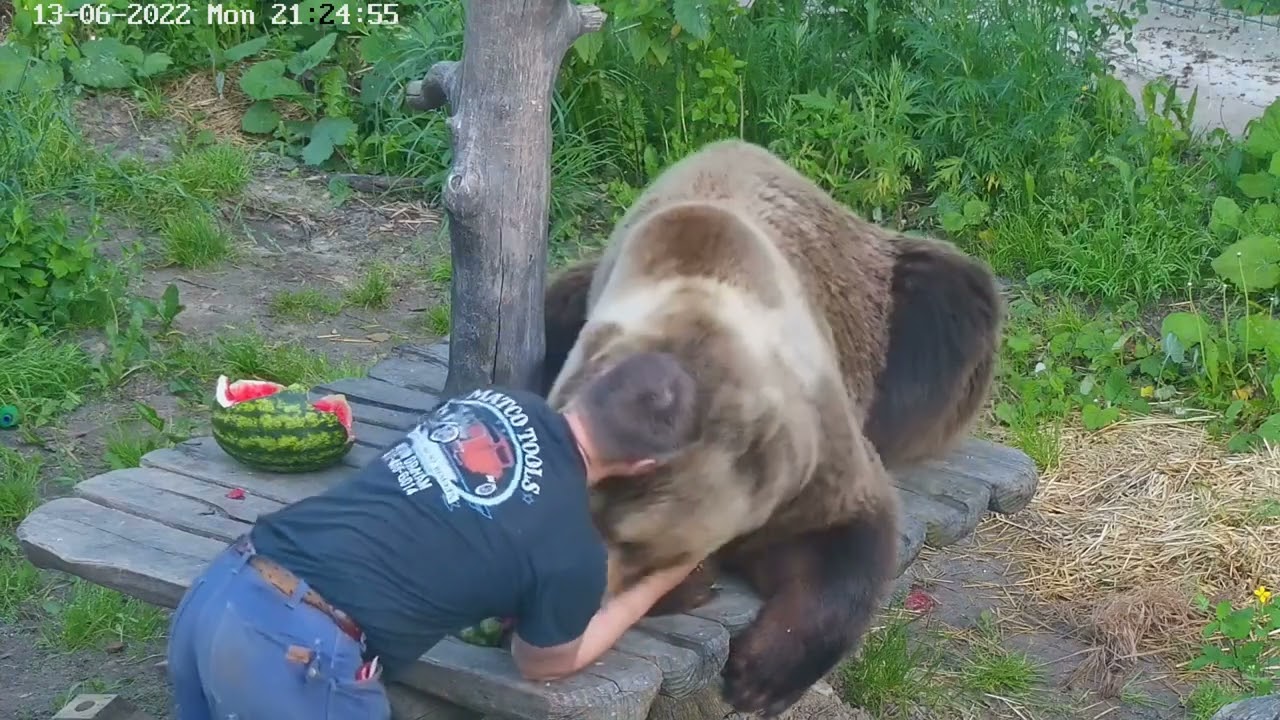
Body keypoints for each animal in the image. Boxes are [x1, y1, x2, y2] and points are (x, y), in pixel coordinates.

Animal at [539, 138, 1004, 717]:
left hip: (888, 300)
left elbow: (847, 537)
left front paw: (760, 675)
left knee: (946, 298)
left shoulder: (812, 447)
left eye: (632, 539)